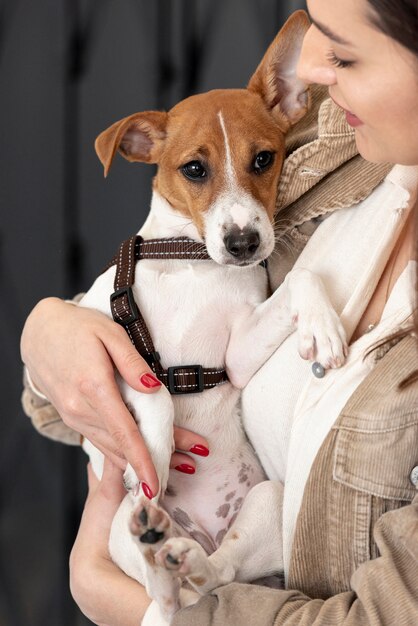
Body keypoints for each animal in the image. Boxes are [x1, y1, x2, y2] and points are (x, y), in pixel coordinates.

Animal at [80, 11, 348, 624]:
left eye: (264, 159)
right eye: (194, 169)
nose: (244, 242)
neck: (191, 258)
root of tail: (200, 534)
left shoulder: (239, 351)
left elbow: (301, 280)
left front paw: (321, 326)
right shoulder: (101, 333)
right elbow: (151, 387)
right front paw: (153, 459)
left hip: (268, 502)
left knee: (213, 577)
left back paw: (183, 557)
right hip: (114, 528)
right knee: (162, 586)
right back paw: (155, 534)